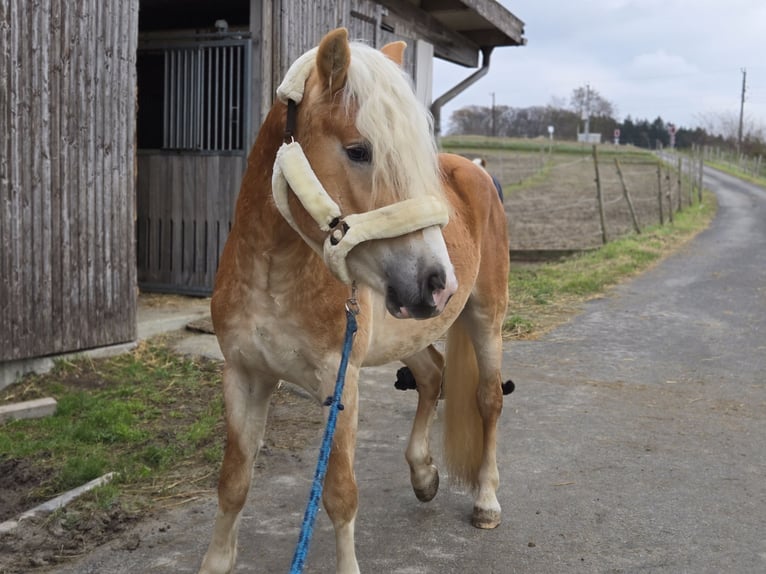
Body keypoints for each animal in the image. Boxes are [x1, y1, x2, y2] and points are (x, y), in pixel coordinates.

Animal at [200, 28, 510, 574]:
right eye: (358, 150)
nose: (439, 282)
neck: (273, 275)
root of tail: (478, 175)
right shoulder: (243, 375)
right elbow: (233, 483)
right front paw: (217, 560)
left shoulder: (339, 383)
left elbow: (340, 494)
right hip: (412, 326)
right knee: (432, 376)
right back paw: (423, 475)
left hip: (485, 316)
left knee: (488, 399)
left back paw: (486, 501)